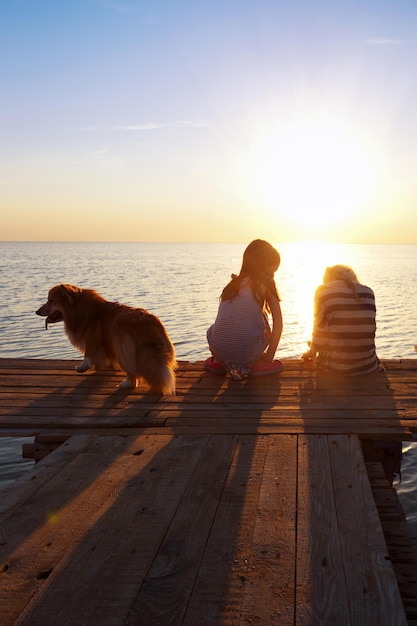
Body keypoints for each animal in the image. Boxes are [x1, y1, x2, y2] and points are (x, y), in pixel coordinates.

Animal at [35, 282, 176, 390]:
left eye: (51, 301)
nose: (36, 311)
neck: (78, 310)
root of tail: (146, 325)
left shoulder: (92, 340)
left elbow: (87, 354)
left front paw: (82, 367)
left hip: (121, 345)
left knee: (131, 370)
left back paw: (127, 383)